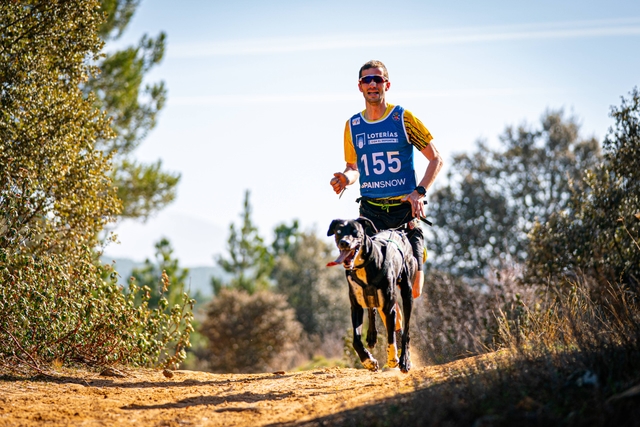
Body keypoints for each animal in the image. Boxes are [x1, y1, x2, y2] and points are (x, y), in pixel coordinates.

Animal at [328, 219, 418, 372]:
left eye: (355, 232)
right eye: (338, 232)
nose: (344, 243)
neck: (363, 266)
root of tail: (399, 231)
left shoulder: (389, 307)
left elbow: (391, 337)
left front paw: (393, 359)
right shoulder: (356, 307)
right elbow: (356, 340)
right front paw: (368, 361)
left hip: (407, 293)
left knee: (406, 331)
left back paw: (404, 360)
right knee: (372, 309)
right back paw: (371, 336)